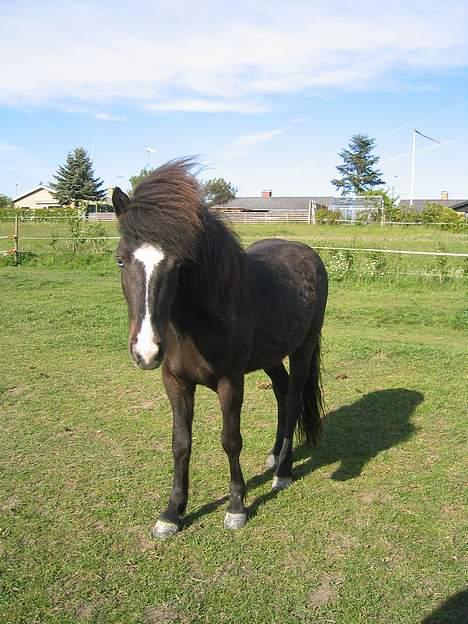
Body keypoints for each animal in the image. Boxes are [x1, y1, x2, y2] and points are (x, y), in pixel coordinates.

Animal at [112, 158, 330, 540]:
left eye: (178, 264)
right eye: (121, 260)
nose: (146, 351)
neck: (197, 322)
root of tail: (309, 254)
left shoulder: (231, 382)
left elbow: (231, 440)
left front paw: (236, 507)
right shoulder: (176, 383)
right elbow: (180, 443)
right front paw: (172, 513)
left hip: (303, 348)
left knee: (291, 400)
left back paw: (283, 472)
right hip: (271, 356)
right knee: (281, 391)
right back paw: (274, 456)